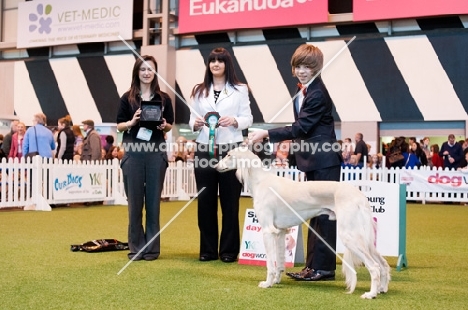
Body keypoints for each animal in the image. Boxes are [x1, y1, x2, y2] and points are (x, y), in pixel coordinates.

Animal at [217, 147, 392, 300]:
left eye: (228, 155)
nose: (215, 166)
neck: (261, 181)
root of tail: (359, 195)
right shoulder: (280, 232)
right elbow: (279, 262)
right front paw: (276, 281)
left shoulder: (268, 231)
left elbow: (270, 264)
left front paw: (267, 283)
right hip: (363, 237)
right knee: (382, 264)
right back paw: (382, 288)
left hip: (350, 236)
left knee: (374, 266)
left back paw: (371, 294)